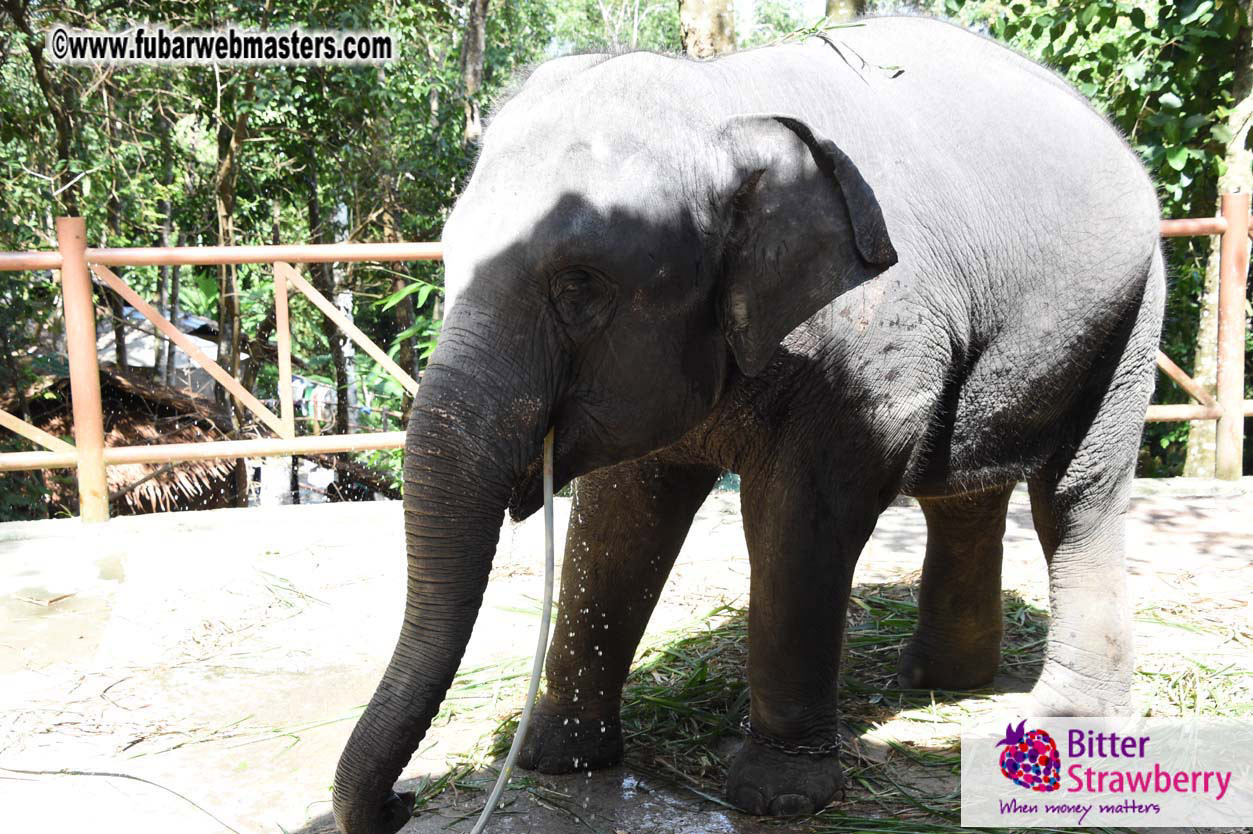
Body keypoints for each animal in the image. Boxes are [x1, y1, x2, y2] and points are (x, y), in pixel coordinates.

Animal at [332, 15, 1164, 834]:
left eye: (578, 286)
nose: (401, 803)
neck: (723, 102)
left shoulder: (870, 348)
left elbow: (800, 520)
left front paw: (778, 797)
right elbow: (618, 520)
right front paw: (556, 757)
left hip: (1131, 311)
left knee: (1075, 495)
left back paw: (1063, 721)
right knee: (960, 493)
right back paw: (937, 681)